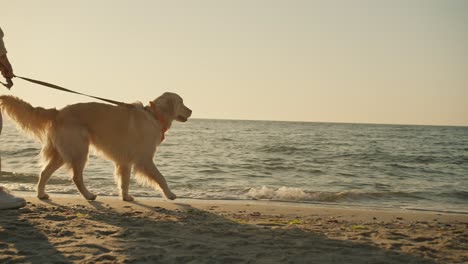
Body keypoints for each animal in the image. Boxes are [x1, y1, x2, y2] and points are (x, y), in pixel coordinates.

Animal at [0, 92, 192, 201]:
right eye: (182, 102)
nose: (191, 111)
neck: (154, 116)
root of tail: (58, 112)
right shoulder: (144, 159)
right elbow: (161, 177)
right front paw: (170, 194)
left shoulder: (125, 161)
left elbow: (124, 181)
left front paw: (126, 197)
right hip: (79, 150)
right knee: (76, 177)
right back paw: (89, 195)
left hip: (63, 153)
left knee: (44, 172)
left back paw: (41, 194)